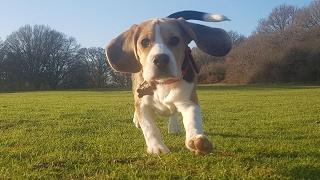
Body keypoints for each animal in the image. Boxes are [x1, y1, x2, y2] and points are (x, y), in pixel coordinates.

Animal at [106, 10, 231, 155]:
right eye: (145, 42)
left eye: (175, 40)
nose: (160, 59)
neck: (163, 83)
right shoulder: (143, 105)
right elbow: (150, 128)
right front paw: (157, 147)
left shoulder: (188, 101)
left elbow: (193, 119)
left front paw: (196, 139)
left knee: (174, 112)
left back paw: (174, 126)